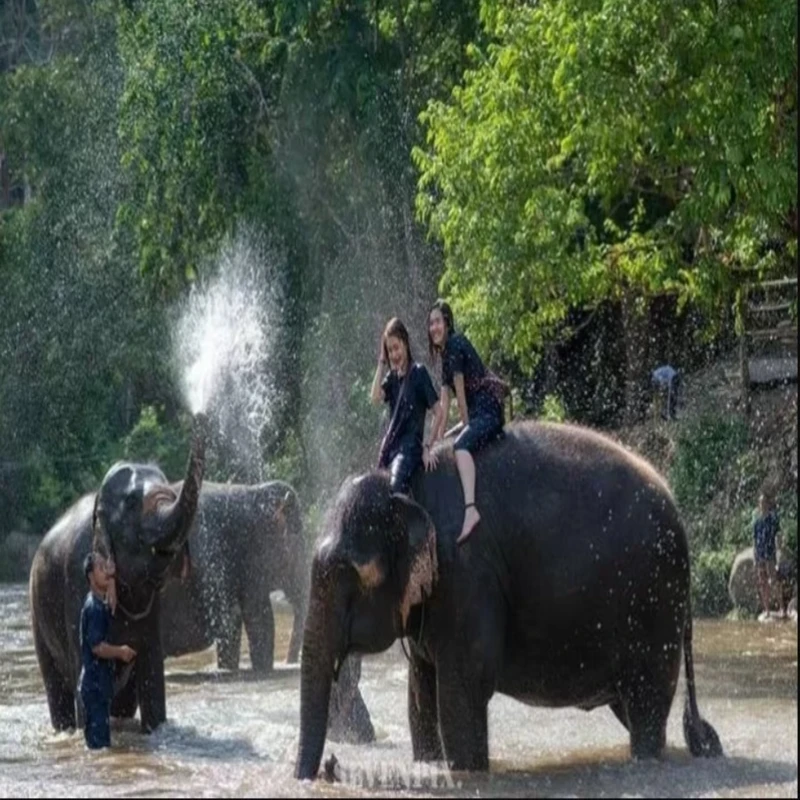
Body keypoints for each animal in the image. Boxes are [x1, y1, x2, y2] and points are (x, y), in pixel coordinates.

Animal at [30, 416, 208, 736]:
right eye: (132, 502)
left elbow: (152, 671)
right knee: (56, 688)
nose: (200, 418)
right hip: (39, 618)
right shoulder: (76, 584)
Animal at [157, 482, 310, 676]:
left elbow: (233, 623)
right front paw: (263, 670)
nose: (290, 662)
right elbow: (259, 617)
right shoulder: (249, 561)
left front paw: (229, 668)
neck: (256, 491)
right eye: (298, 538)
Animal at [296, 422, 724, 780]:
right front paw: (429, 766)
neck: (407, 484)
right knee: (633, 708)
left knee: (647, 705)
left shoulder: (468, 575)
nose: (330, 768)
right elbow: (421, 691)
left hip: (655, 605)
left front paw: (466, 775)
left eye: (350, 573)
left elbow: (463, 687)